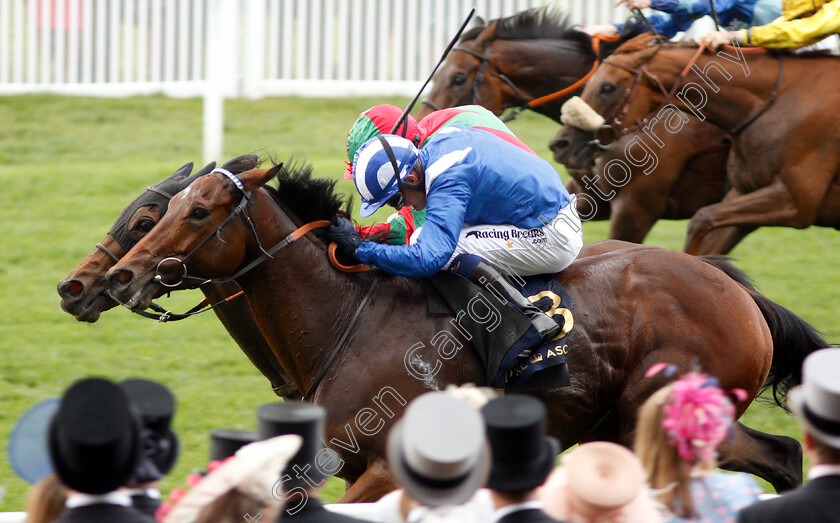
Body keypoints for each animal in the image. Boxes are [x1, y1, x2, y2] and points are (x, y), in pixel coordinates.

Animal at [108, 162, 824, 502]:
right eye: (160, 212)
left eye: (197, 212)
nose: (121, 276)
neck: (346, 317)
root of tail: (738, 292)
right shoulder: (330, 465)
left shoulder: (389, 467)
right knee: (782, 460)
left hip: (667, 412)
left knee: (779, 457)